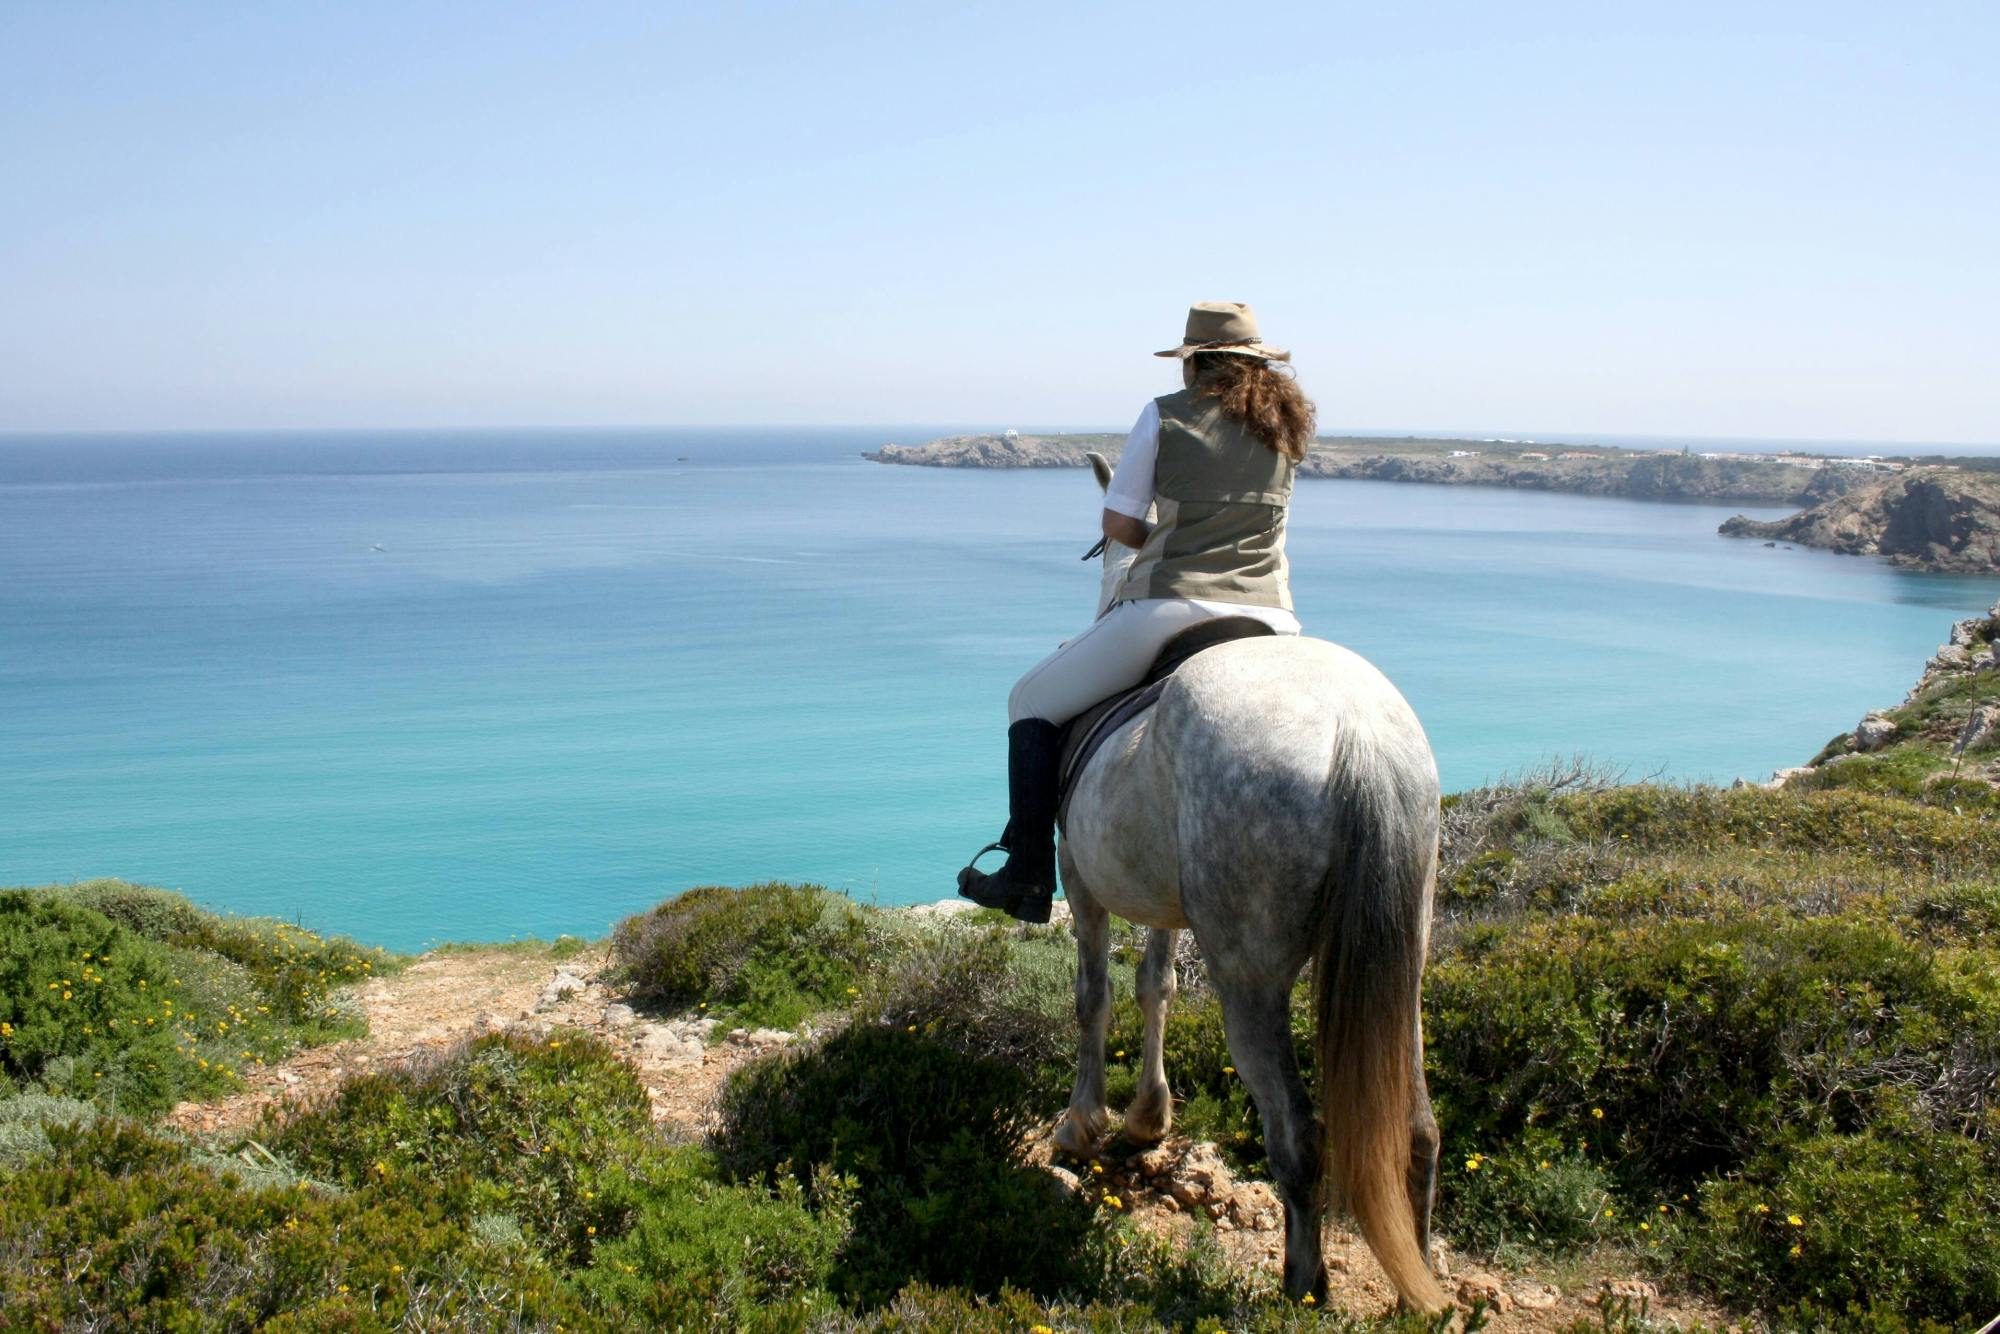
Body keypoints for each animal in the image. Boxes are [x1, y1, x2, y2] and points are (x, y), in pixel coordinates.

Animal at [1056, 454, 1448, 1312]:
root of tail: (1356, 729)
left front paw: (1084, 1121)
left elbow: (1095, 997)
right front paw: (1147, 1117)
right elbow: (1157, 986)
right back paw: (1418, 1284)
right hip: (1405, 961)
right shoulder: (1164, 906)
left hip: (1250, 979)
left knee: (1298, 1133)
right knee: (1418, 1126)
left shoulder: (1082, 883)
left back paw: (1303, 1286)